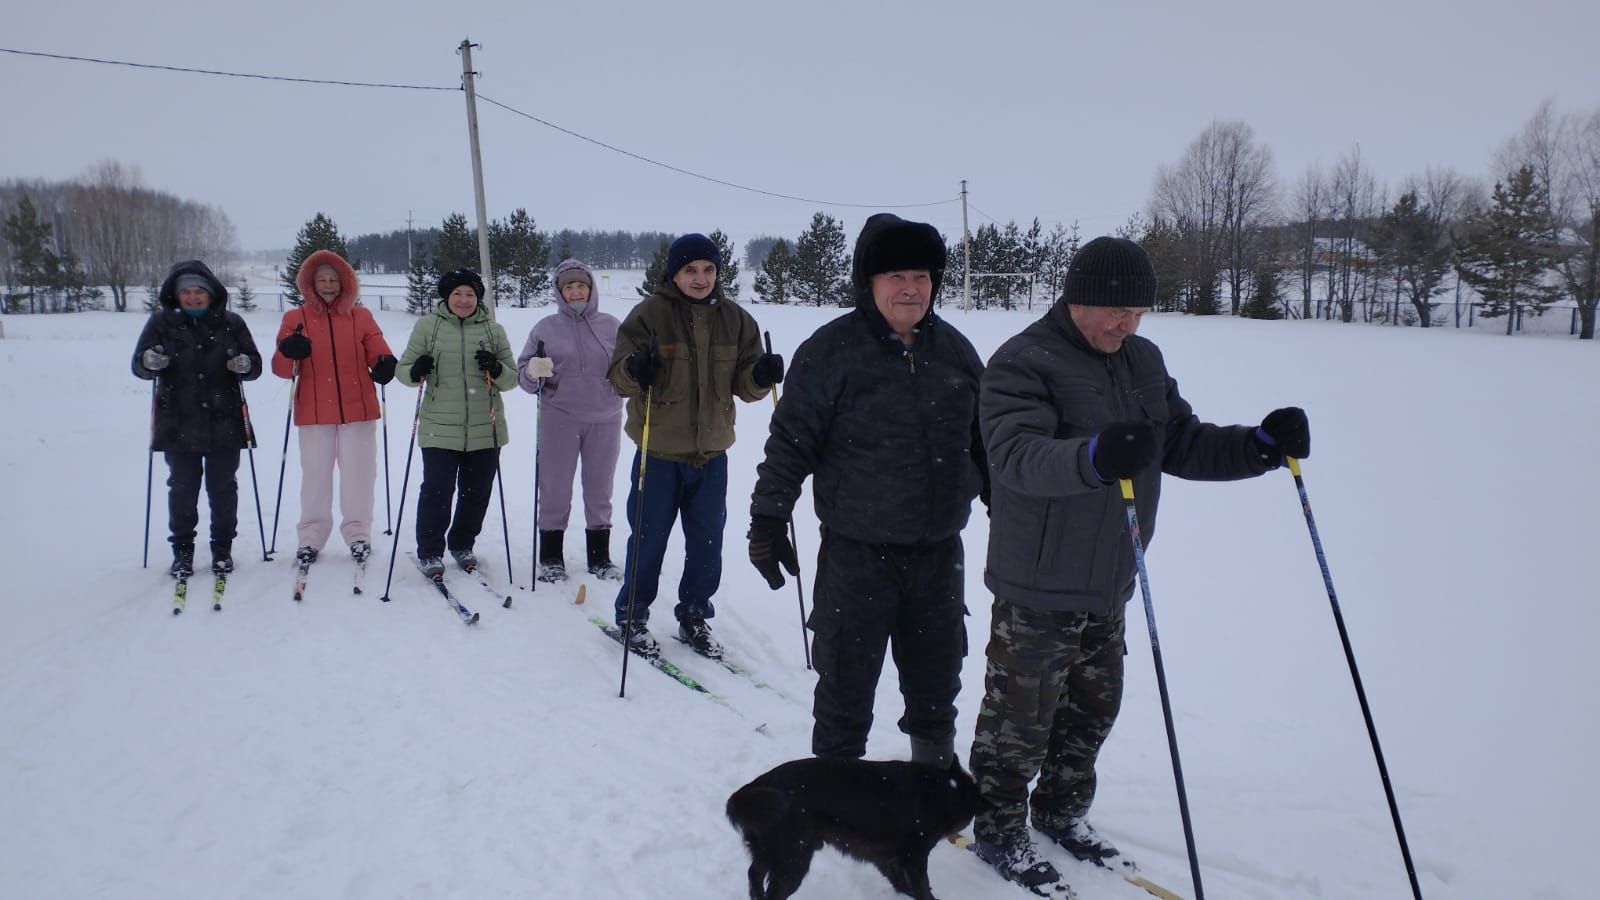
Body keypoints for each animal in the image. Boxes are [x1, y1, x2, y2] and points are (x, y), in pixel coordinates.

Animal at [723, 752, 972, 890]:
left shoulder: (888, 857)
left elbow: (900, 880)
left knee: (754, 875)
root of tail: (757, 785)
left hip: (767, 853)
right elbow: (922, 887)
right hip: (793, 861)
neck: (941, 791)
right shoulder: (914, 858)